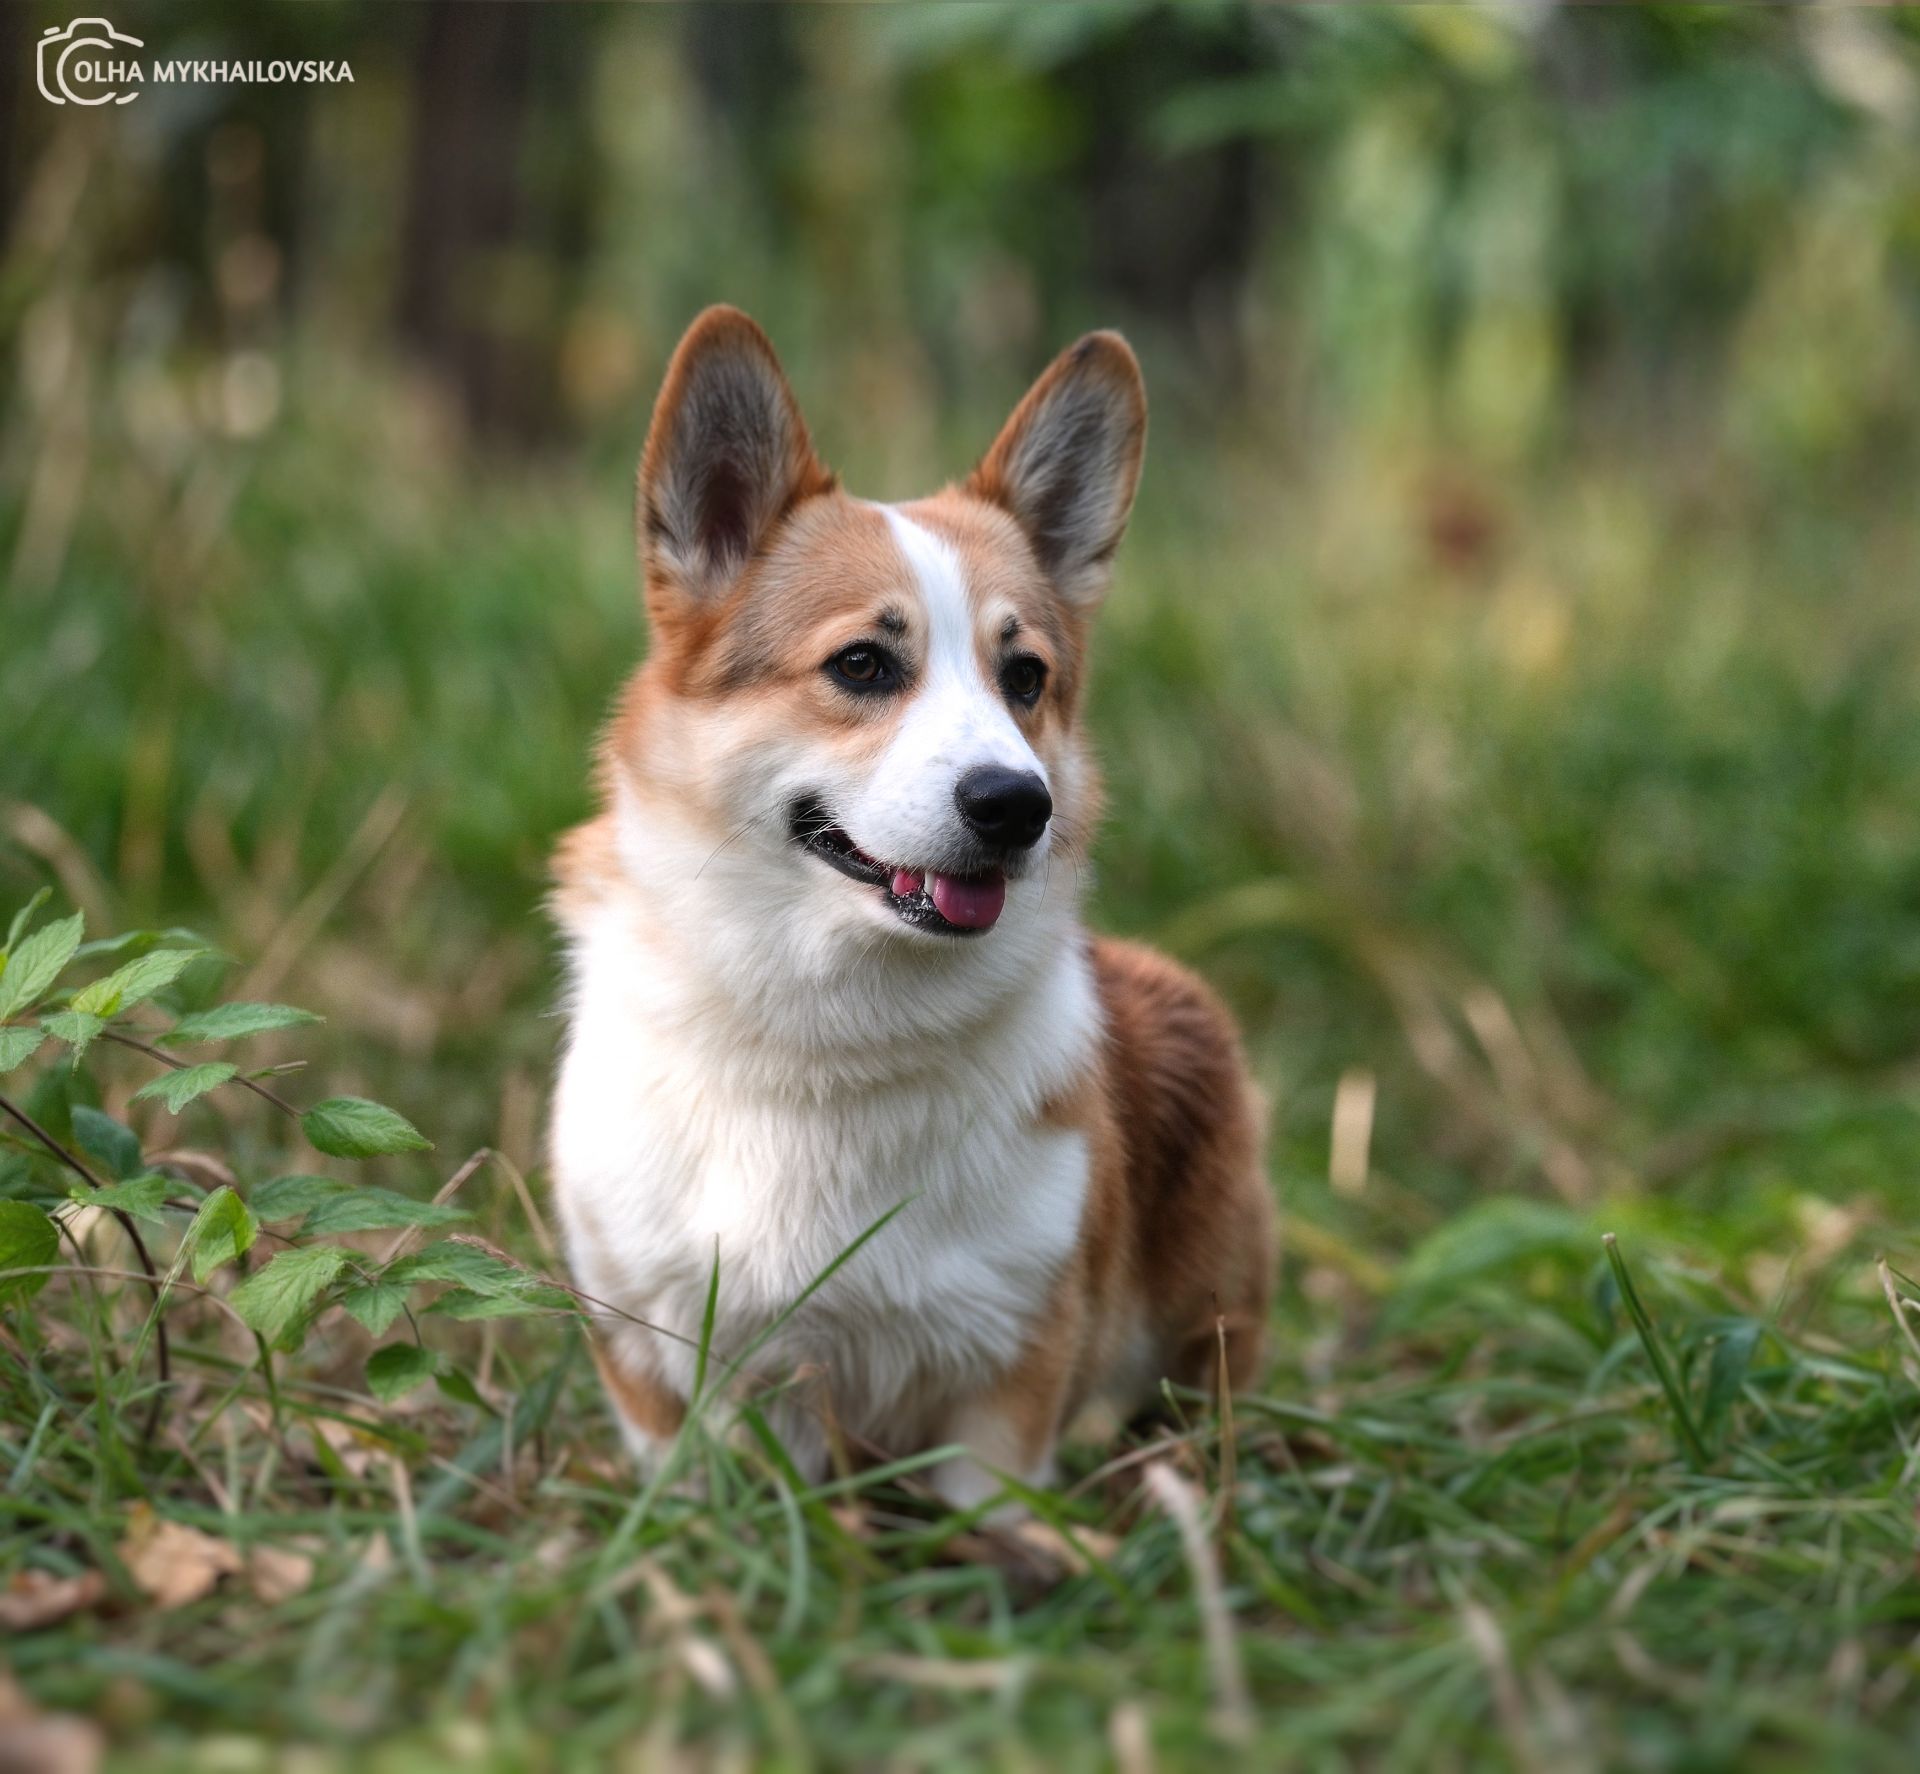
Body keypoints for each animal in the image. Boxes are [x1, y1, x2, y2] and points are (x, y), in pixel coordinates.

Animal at [549, 309, 1274, 1512]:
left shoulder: (1010, 1369)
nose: (1016, 804)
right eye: (861, 664)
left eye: (1025, 678)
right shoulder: (657, 1345)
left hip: (1203, 1331)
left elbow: (994, 1508)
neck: (832, 1033)